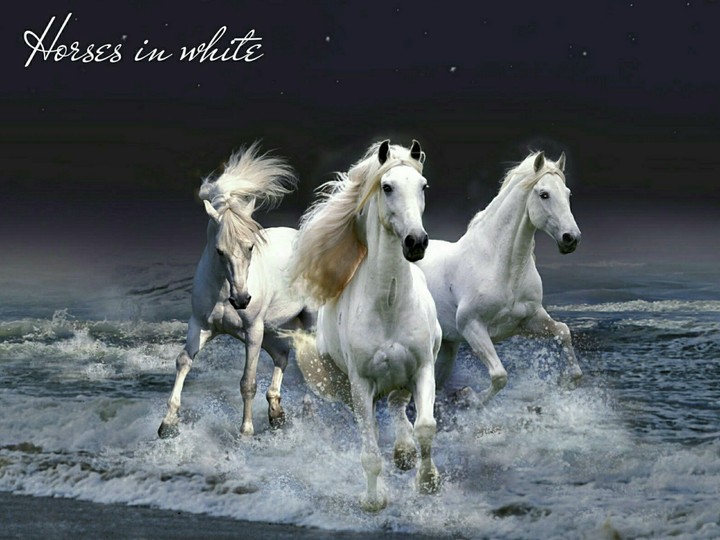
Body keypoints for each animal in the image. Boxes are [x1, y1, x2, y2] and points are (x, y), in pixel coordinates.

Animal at [158, 142, 315, 439]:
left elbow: (247, 382)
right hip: (274, 328)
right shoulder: (201, 325)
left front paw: (246, 432)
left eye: (251, 246)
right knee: (282, 356)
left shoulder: (252, 331)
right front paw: (167, 424)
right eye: (219, 250)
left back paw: (306, 409)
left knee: (310, 360)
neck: (223, 291)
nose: (241, 300)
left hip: (305, 322)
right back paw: (276, 413)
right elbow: (183, 361)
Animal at [288, 140, 442, 511]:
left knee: (399, 405)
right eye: (387, 187)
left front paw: (428, 482)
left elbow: (425, 426)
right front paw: (374, 500)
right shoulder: (361, 384)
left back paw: (404, 452)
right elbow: (370, 452)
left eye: (423, 186)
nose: (416, 242)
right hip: (347, 386)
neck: (389, 304)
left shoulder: (423, 367)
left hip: (402, 377)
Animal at [415, 151, 583, 407]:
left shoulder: (528, 321)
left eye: (567, 193)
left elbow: (563, 332)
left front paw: (565, 382)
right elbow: (499, 376)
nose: (571, 238)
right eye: (544, 194)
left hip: (447, 347)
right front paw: (469, 397)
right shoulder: (472, 327)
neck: (501, 268)